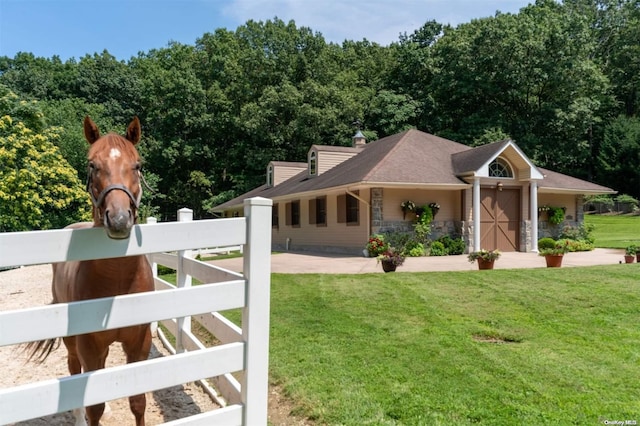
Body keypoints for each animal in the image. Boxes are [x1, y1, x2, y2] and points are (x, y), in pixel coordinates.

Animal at [28, 115, 156, 426]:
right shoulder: (89, 345)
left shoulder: (139, 342)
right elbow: (94, 406)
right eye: (92, 165)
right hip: (73, 343)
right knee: (74, 371)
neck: (118, 281)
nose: (119, 219)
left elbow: (138, 402)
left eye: (137, 165)